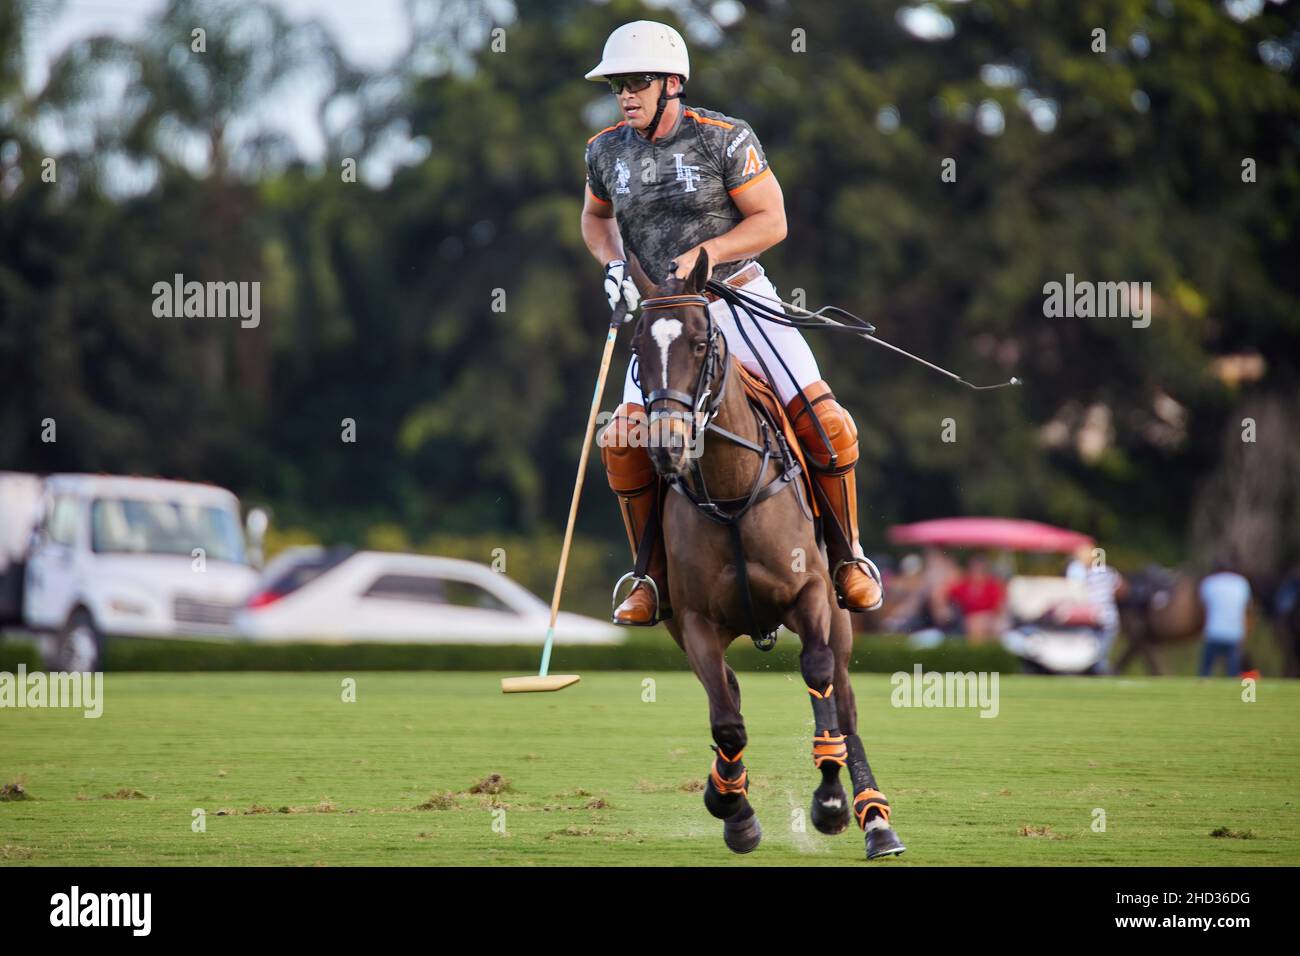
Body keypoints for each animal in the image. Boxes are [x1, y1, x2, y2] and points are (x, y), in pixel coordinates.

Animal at [618, 252, 904, 858]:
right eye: (636, 346)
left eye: (701, 341)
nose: (666, 445)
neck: (730, 493)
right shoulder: (695, 621)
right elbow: (726, 718)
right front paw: (732, 807)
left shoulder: (811, 593)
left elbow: (818, 676)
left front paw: (830, 803)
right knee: (727, 692)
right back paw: (732, 794)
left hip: (841, 612)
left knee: (844, 697)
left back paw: (875, 819)